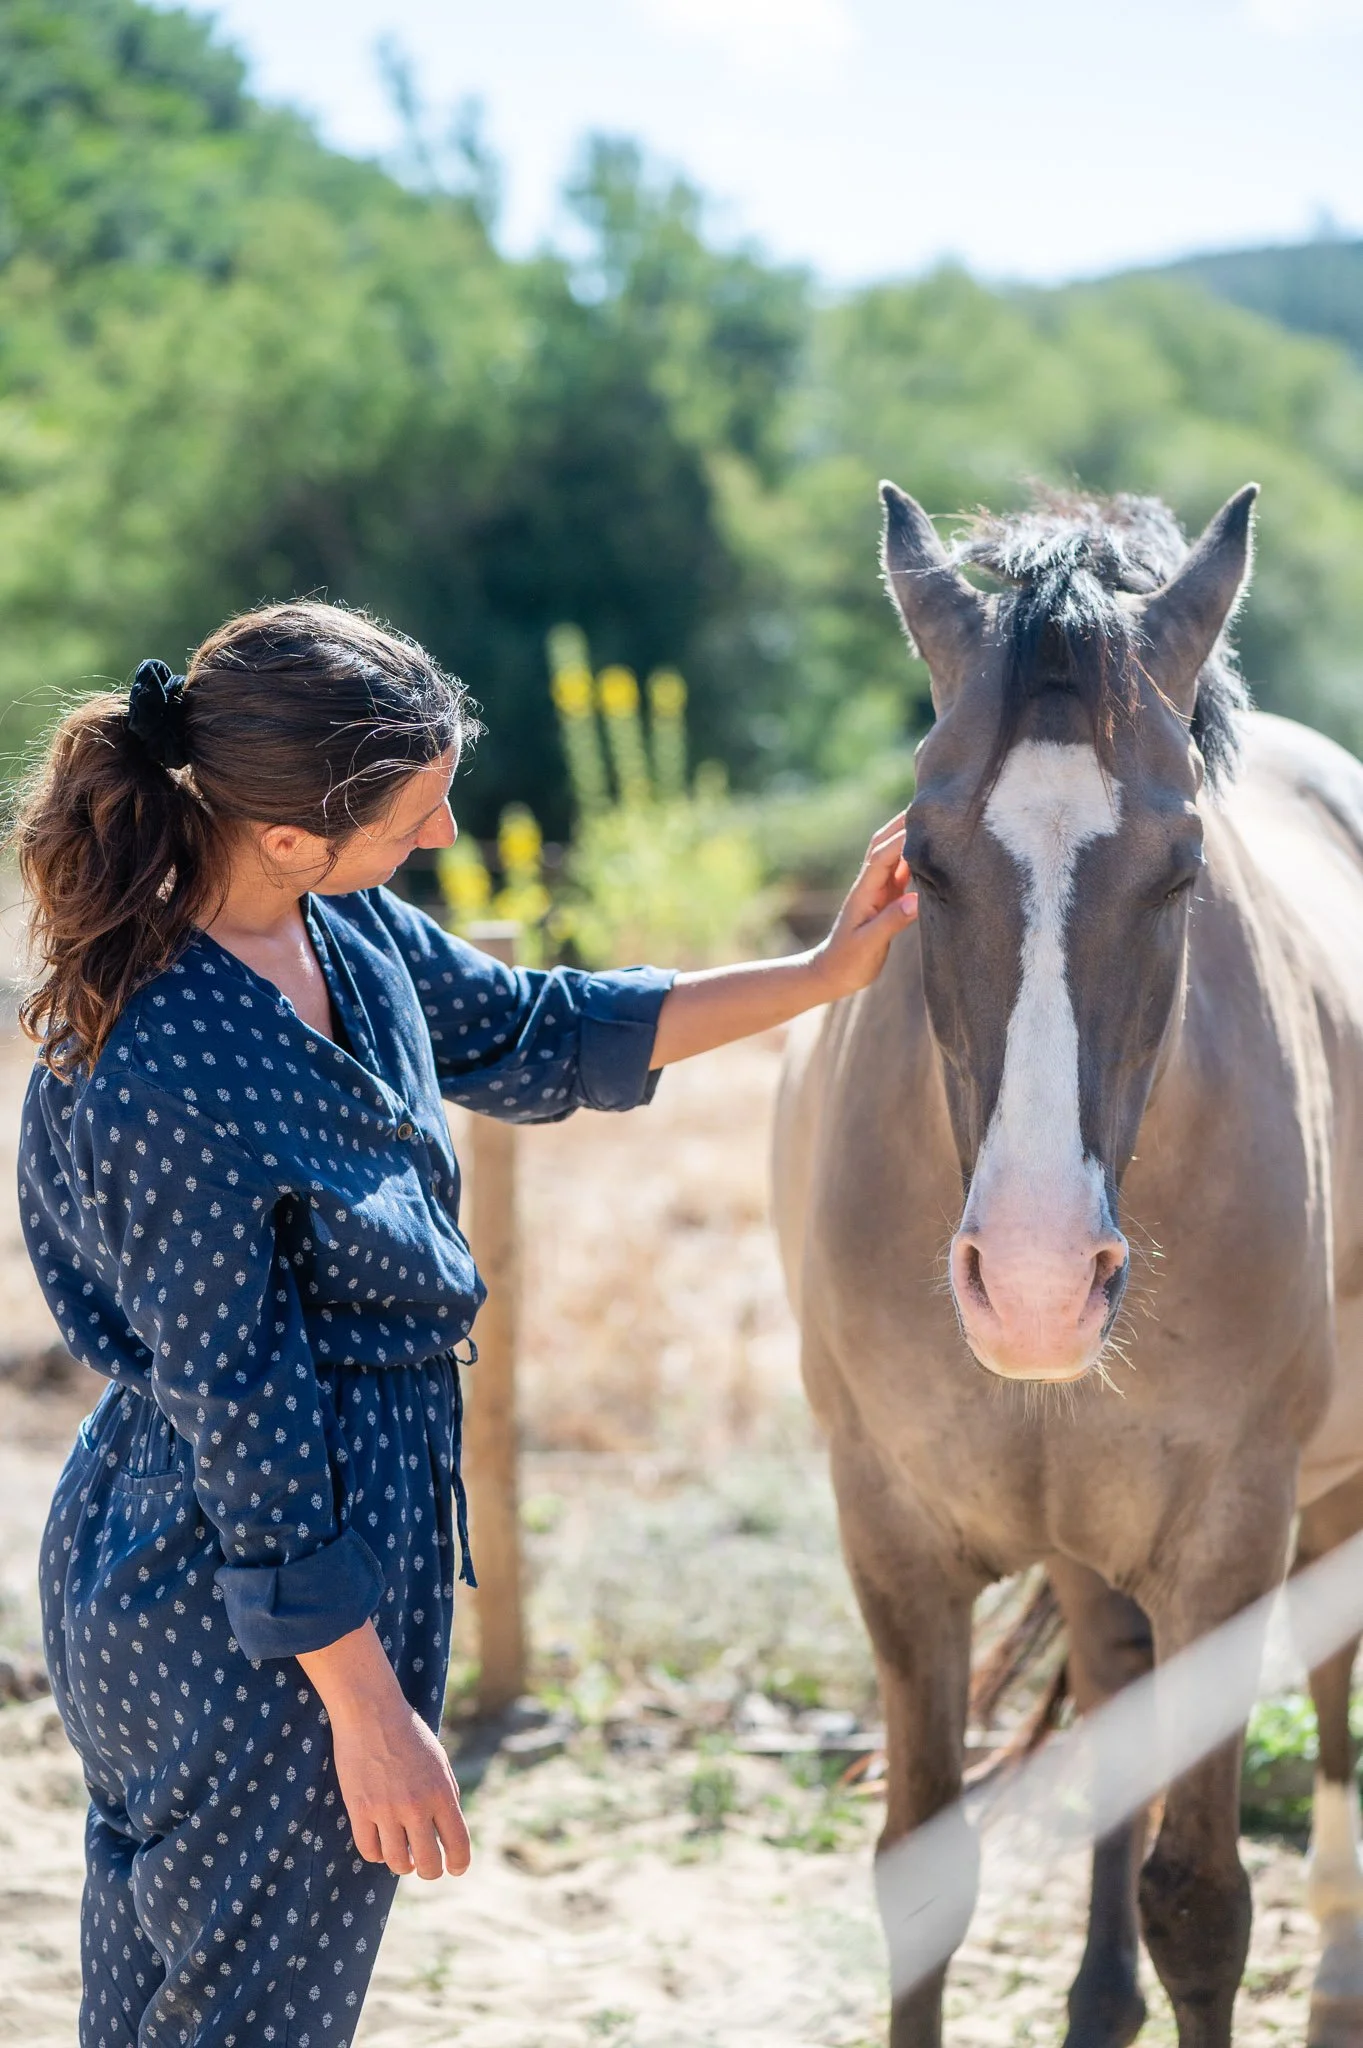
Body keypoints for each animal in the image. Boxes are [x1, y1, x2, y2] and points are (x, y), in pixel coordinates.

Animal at [773, 479, 1363, 2048]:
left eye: (1182, 871)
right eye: (918, 861)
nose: (1035, 1284)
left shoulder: (1230, 1538)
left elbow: (1203, 1904)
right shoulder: (890, 1539)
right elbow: (923, 1879)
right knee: (1108, 1686)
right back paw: (1097, 2001)